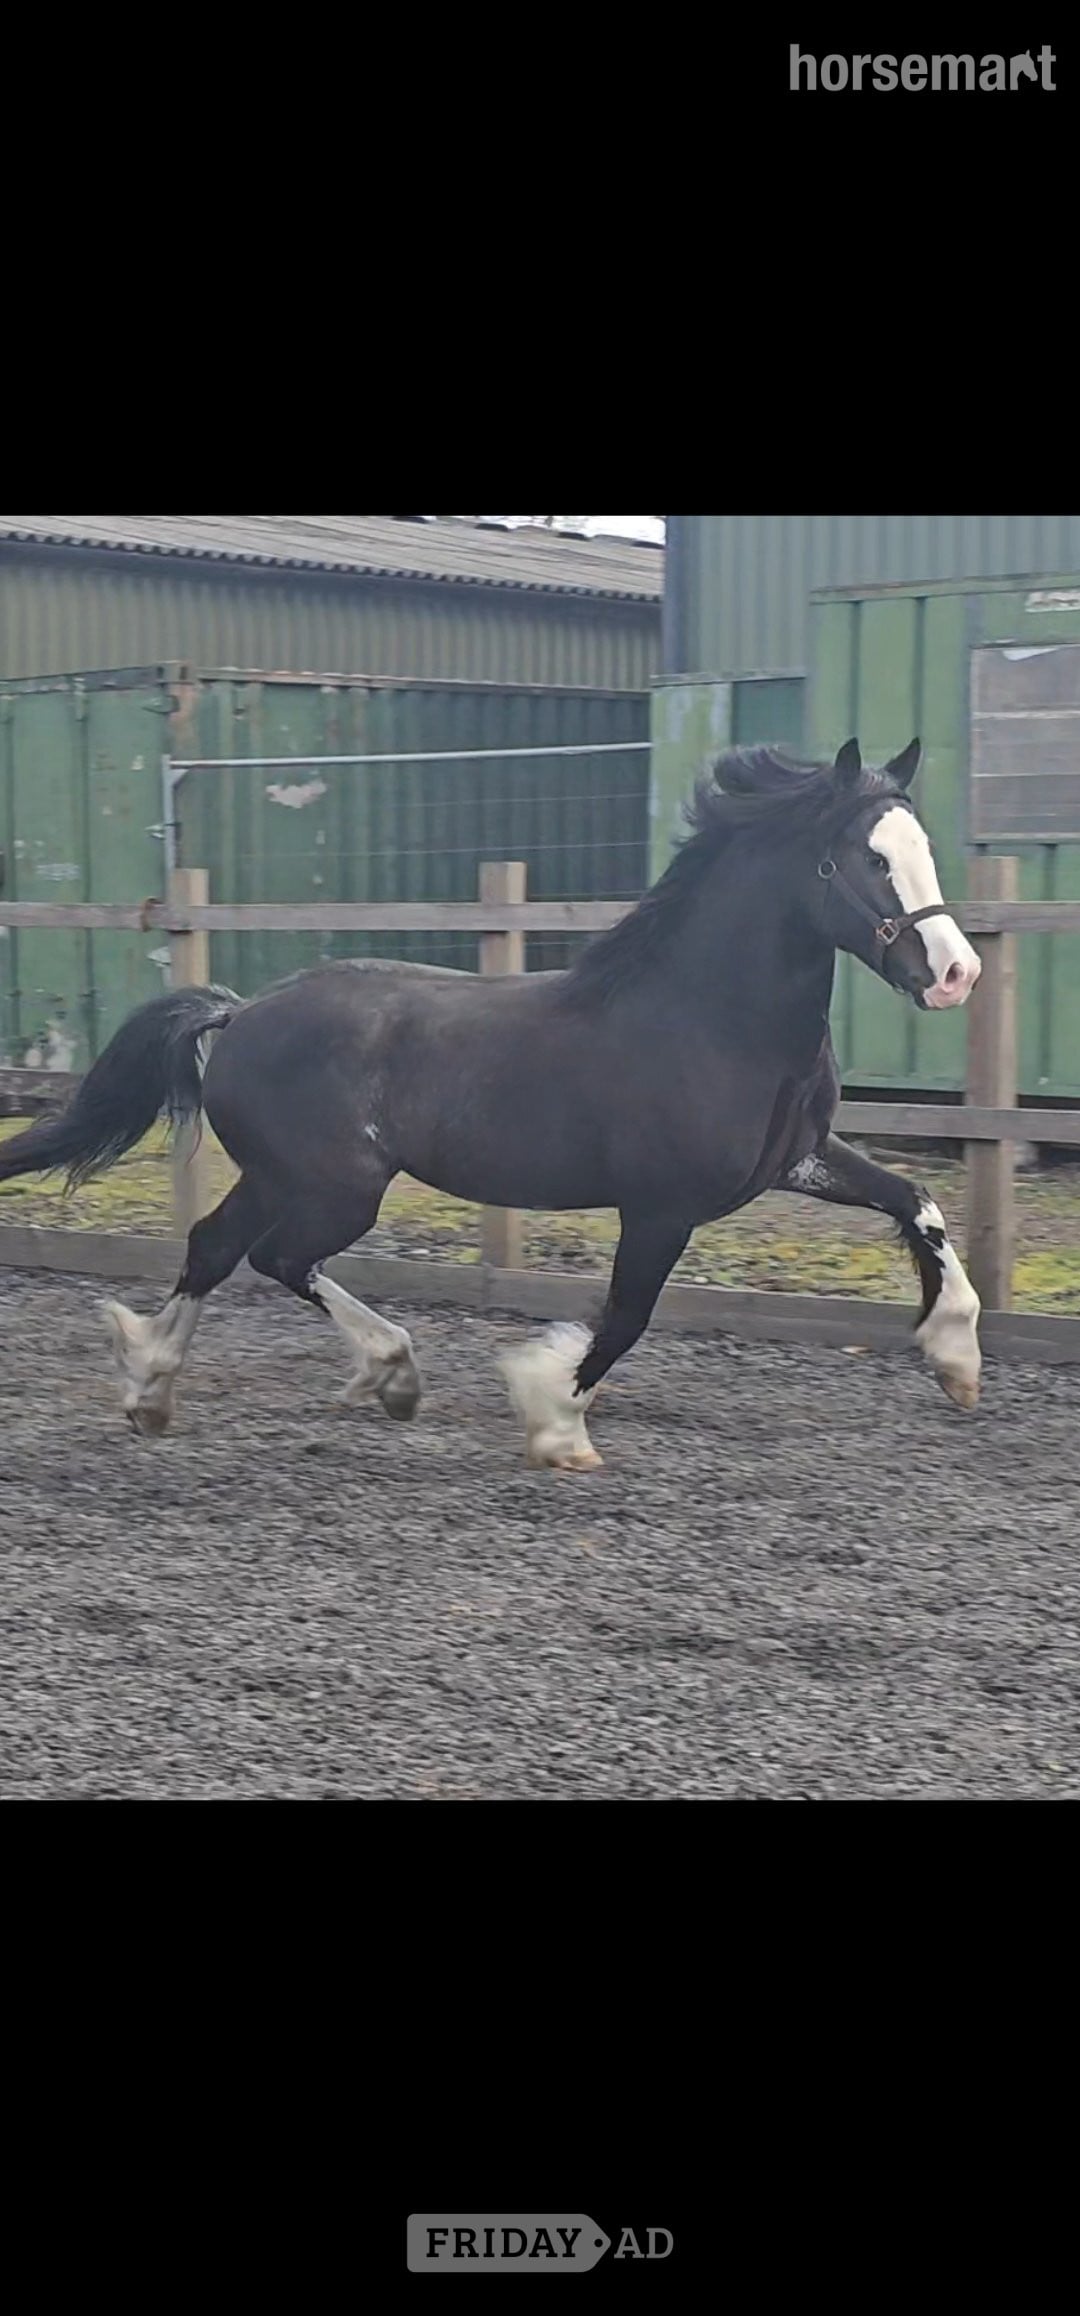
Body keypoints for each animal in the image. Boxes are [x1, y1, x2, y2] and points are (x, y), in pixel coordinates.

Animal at [0, 736, 984, 1470]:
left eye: (922, 849)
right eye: (868, 858)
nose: (955, 974)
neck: (712, 1020)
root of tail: (238, 1014)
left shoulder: (797, 1162)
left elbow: (918, 1203)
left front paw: (958, 1360)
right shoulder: (660, 1206)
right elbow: (625, 1316)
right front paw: (554, 1423)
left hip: (288, 1179)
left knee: (218, 1248)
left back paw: (165, 1390)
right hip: (336, 1189)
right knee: (269, 1256)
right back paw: (363, 1373)